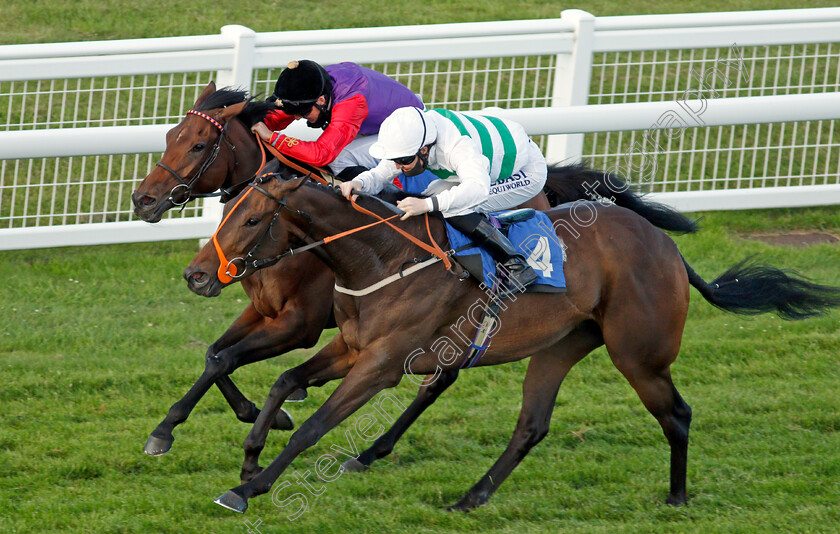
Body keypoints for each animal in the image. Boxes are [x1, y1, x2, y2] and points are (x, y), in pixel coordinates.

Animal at [130, 84, 696, 456]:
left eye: (198, 144)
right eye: (169, 134)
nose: (143, 200)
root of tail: (544, 188)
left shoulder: (300, 323)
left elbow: (227, 359)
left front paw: (254, 417)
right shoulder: (266, 311)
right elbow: (215, 356)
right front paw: (177, 426)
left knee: (439, 377)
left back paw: (373, 450)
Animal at [185, 176, 840, 516]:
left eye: (250, 221)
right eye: (226, 213)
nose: (195, 275)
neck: (384, 257)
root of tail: (669, 249)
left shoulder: (381, 364)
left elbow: (314, 425)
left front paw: (249, 487)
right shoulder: (351, 346)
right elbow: (284, 382)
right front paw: (250, 456)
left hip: (638, 353)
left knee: (676, 414)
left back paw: (677, 498)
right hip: (561, 346)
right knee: (532, 425)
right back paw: (471, 497)